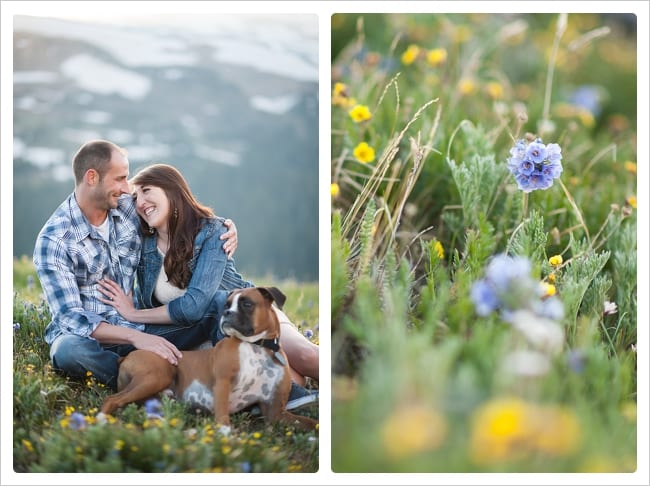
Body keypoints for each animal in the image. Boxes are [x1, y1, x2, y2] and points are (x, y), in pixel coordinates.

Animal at [98, 284, 316, 432]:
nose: (226, 312)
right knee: (112, 399)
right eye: (227, 304)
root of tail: (127, 355)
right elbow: (223, 421)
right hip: (156, 376)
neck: (258, 347)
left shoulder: (275, 413)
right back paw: (99, 422)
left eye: (247, 304)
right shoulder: (222, 384)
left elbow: (310, 423)